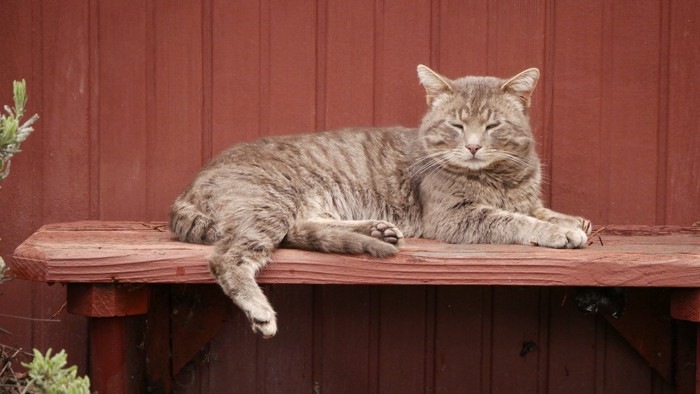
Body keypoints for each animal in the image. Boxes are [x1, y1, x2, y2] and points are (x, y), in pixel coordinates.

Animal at [168, 63, 592, 336]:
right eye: (456, 125)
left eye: (493, 125)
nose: (473, 147)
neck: (501, 176)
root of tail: (188, 189)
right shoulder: (454, 217)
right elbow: (515, 219)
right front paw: (560, 233)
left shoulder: (523, 198)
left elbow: (540, 209)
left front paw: (573, 220)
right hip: (268, 205)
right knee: (228, 257)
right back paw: (259, 310)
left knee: (303, 230)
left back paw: (376, 230)